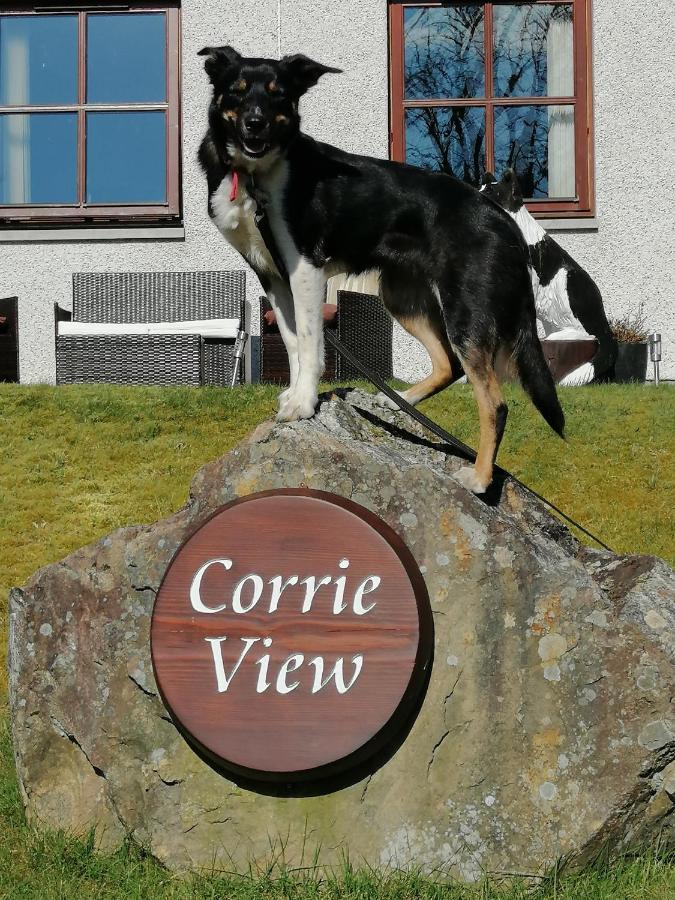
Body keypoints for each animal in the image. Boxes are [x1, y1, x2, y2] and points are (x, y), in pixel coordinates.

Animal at [199, 48, 564, 492]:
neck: (255, 175)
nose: (255, 123)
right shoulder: (272, 276)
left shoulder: (305, 267)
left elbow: (311, 344)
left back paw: (478, 478)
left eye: (277, 94)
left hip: (465, 311)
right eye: (236, 90)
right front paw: (294, 395)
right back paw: (397, 401)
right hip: (401, 296)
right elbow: (292, 342)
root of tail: (502, 218)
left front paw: (304, 402)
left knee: (493, 402)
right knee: (448, 364)